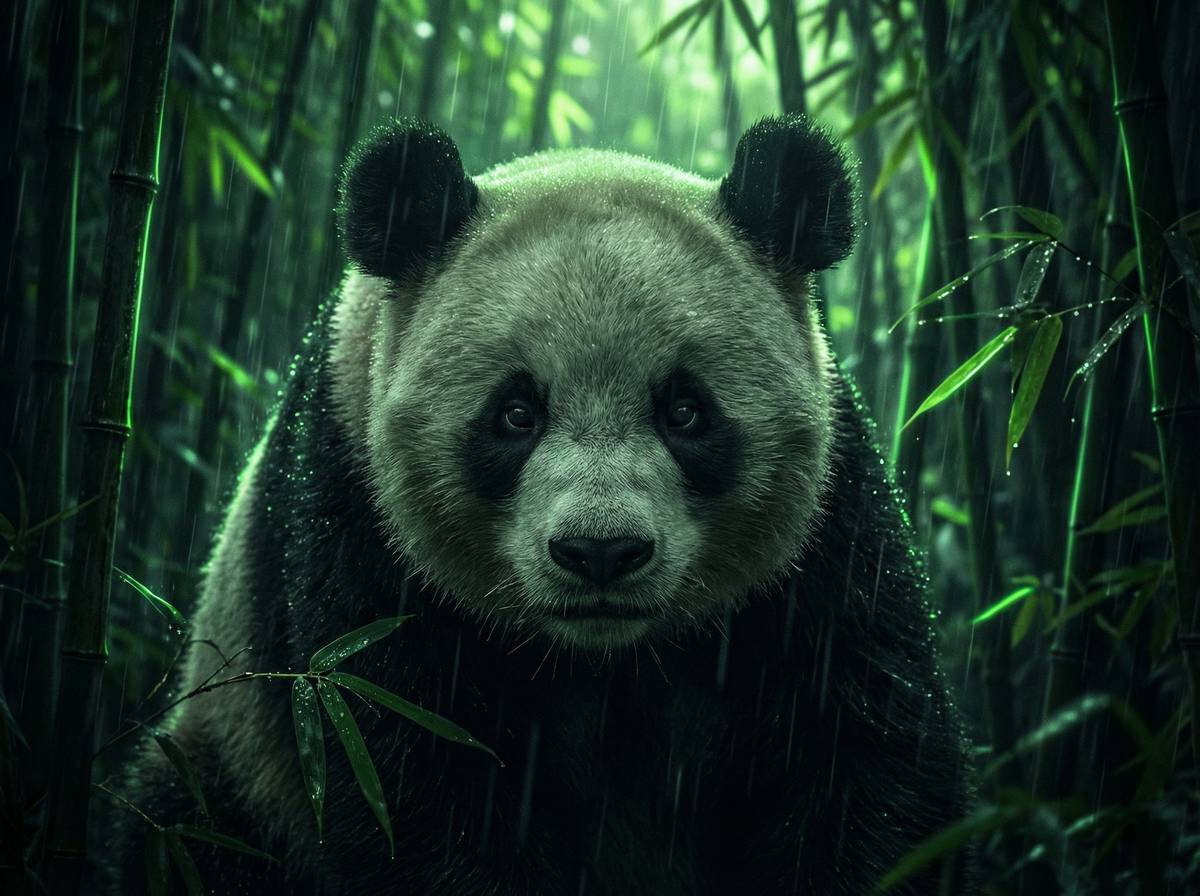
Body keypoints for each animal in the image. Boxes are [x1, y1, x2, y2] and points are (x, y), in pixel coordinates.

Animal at [112, 116, 972, 895]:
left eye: (685, 411)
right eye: (516, 413)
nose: (601, 552)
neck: (606, 655)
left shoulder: (825, 548)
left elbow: (866, 759)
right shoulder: (352, 522)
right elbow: (406, 779)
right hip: (233, 770)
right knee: (183, 831)